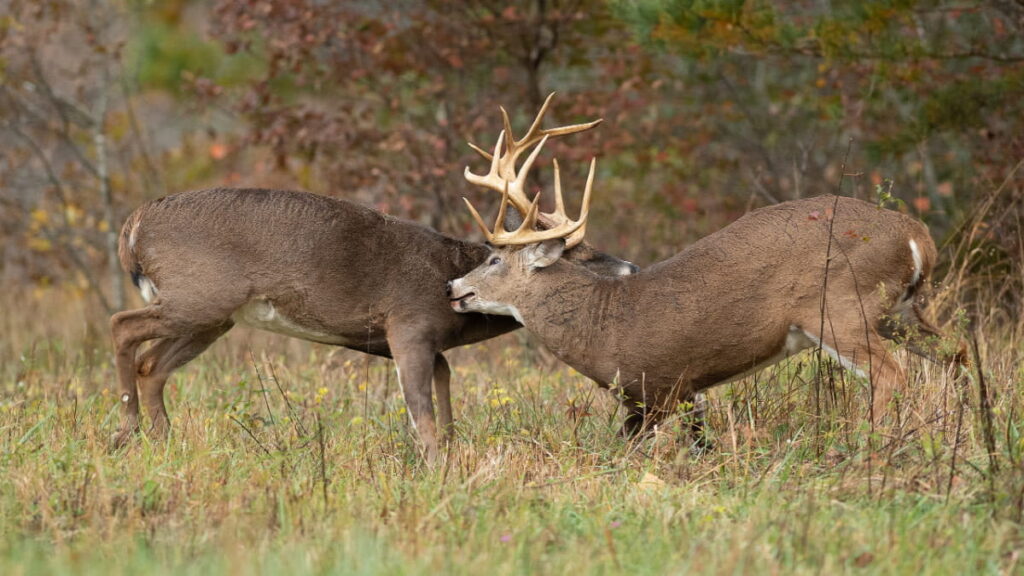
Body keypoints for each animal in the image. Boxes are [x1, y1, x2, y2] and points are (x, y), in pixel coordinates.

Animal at [114, 95, 638, 461]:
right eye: (575, 254)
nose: (632, 268)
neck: (448, 276)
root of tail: (134, 224)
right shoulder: (407, 325)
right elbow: (423, 419)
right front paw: (436, 476)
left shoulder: (430, 346)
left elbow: (445, 409)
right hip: (198, 297)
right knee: (123, 327)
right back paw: (126, 430)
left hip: (212, 317)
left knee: (152, 366)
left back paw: (162, 442)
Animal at [450, 126, 966, 444]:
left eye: (494, 258)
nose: (455, 288)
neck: (601, 323)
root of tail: (915, 235)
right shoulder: (685, 392)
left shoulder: (658, 385)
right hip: (902, 310)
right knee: (956, 352)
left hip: (840, 307)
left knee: (891, 374)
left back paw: (872, 446)